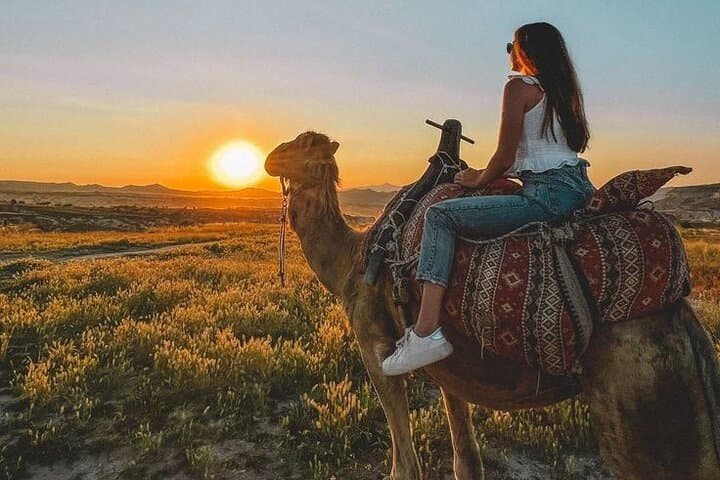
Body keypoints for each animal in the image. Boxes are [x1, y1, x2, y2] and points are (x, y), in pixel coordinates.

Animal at [264, 130, 720, 480]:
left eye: (301, 143)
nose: (270, 157)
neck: (355, 259)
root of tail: (683, 319)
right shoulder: (451, 371)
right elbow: (467, 461)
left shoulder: (375, 346)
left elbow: (405, 468)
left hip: (640, 400)